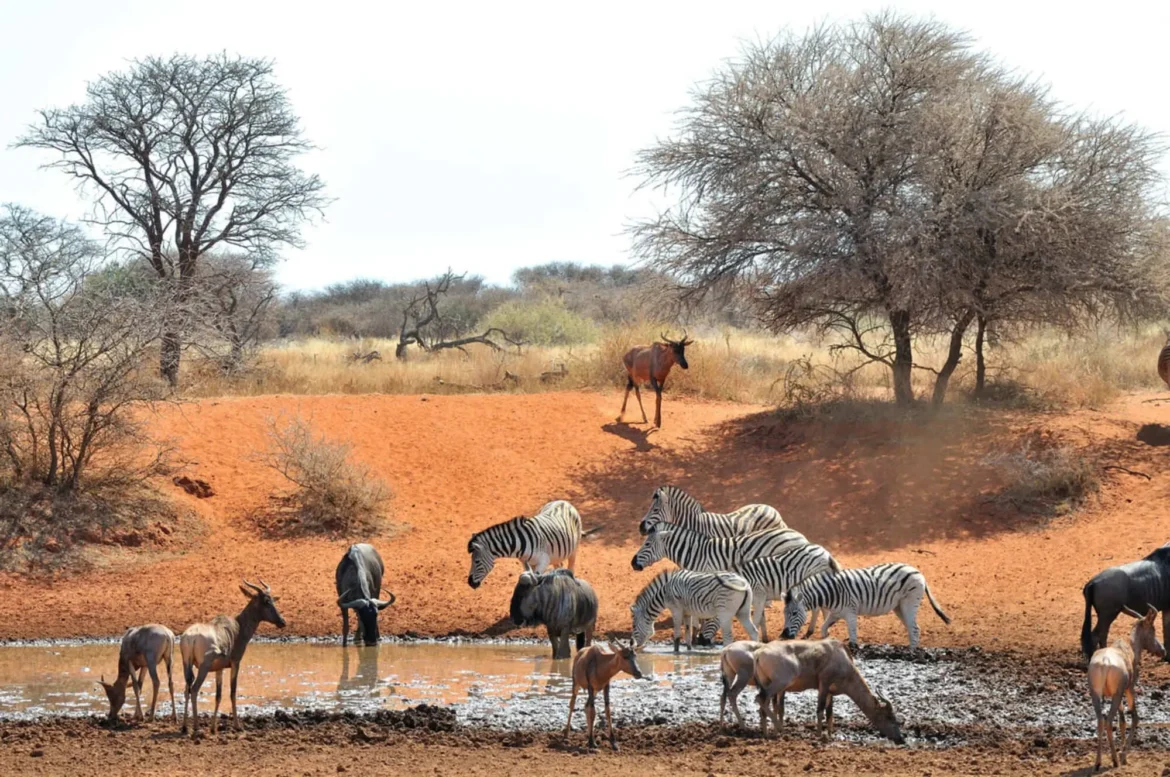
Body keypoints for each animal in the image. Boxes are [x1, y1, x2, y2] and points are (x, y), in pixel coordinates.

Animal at [630, 569, 758, 650]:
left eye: (634, 626)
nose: (632, 645)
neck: (664, 592)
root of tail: (743, 581)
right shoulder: (687, 612)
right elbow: (688, 633)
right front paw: (689, 650)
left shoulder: (676, 609)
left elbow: (677, 635)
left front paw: (676, 653)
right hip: (743, 611)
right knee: (753, 631)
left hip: (724, 613)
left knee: (728, 637)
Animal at [780, 563, 952, 650]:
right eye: (784, 614)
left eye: (794, 613)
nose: (784, 636)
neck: (830, 592)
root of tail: (918, 571)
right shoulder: (836, 613)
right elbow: (823, 629)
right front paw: (828, 641)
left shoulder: (850, 612)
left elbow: (853, 636)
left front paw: (853, 650)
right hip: (899, 607)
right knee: (913, 628)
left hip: (909, 602)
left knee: (914, 628)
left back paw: (912, 655)